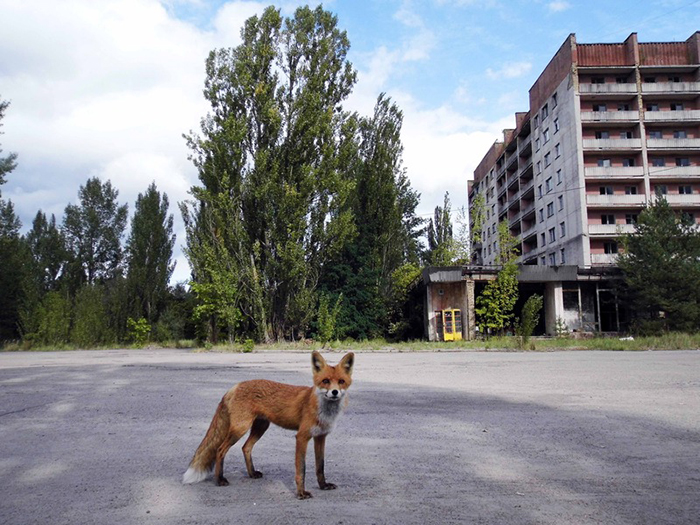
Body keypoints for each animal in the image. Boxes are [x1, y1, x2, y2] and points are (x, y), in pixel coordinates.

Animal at [182, 351, 354, 499]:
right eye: (325, 381)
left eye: (341, 382)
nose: (334, 392)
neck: (322, 410)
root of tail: (235, 386)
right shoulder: (302, 437)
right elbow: (302, 470)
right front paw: (301, 493)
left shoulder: (320, 437)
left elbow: (320, 466)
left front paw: (323, 485)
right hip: (240, 429)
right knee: (219, 450)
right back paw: (219, 479)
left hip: (261, 427)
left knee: (246, 447)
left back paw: (251, 474)